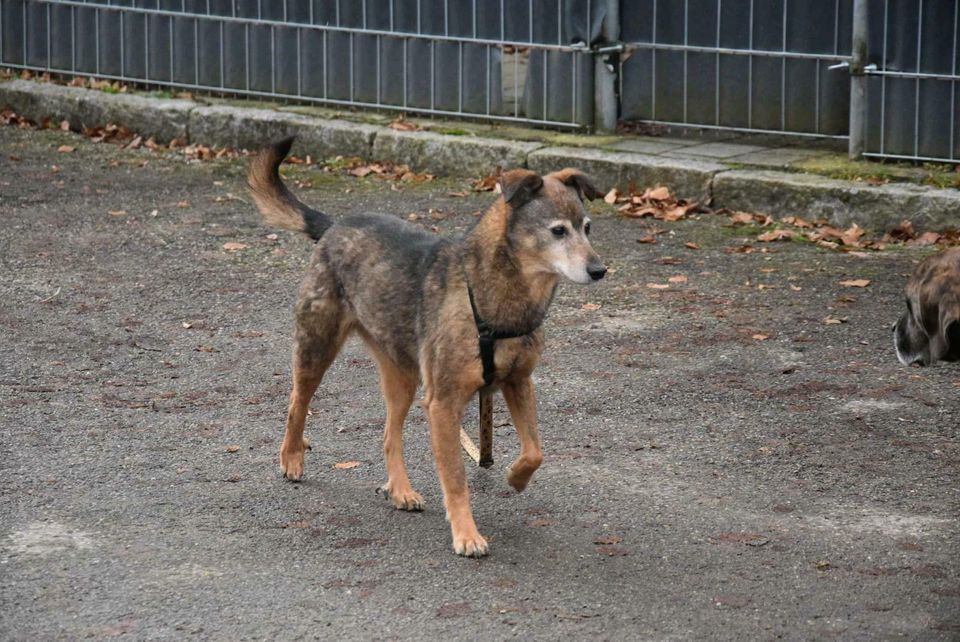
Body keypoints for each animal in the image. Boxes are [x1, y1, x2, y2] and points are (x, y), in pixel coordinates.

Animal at [249, 139, 608, 556]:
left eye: (587, 227)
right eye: (558, 231)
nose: (599, 270)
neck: (493, 297)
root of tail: (334, 226)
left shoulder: (518, 382)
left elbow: (535, 451)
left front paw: (517, 478)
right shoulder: (443, 404)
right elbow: (455, 479)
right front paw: (467, 534)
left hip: (403, 378)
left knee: (389, 435)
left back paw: (400, 490)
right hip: (316, 348)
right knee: (297, 404)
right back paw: (292, 457)